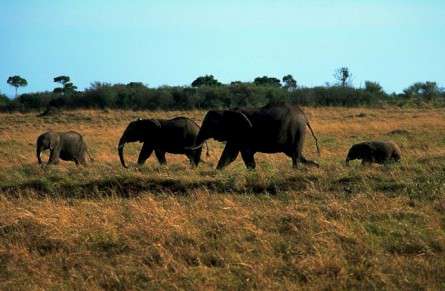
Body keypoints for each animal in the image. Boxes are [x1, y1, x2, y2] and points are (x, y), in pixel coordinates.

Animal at [190, 102, 320, 171]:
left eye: (209, 125)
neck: (226, 111)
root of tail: (305, 117)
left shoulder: (243, 133)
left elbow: (243, 154)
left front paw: (252, 172)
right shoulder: (236, 135)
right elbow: (229, 155)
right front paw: (217, 172)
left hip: (296, 130)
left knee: (295, 155)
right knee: (297, 155)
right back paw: (315, 166)